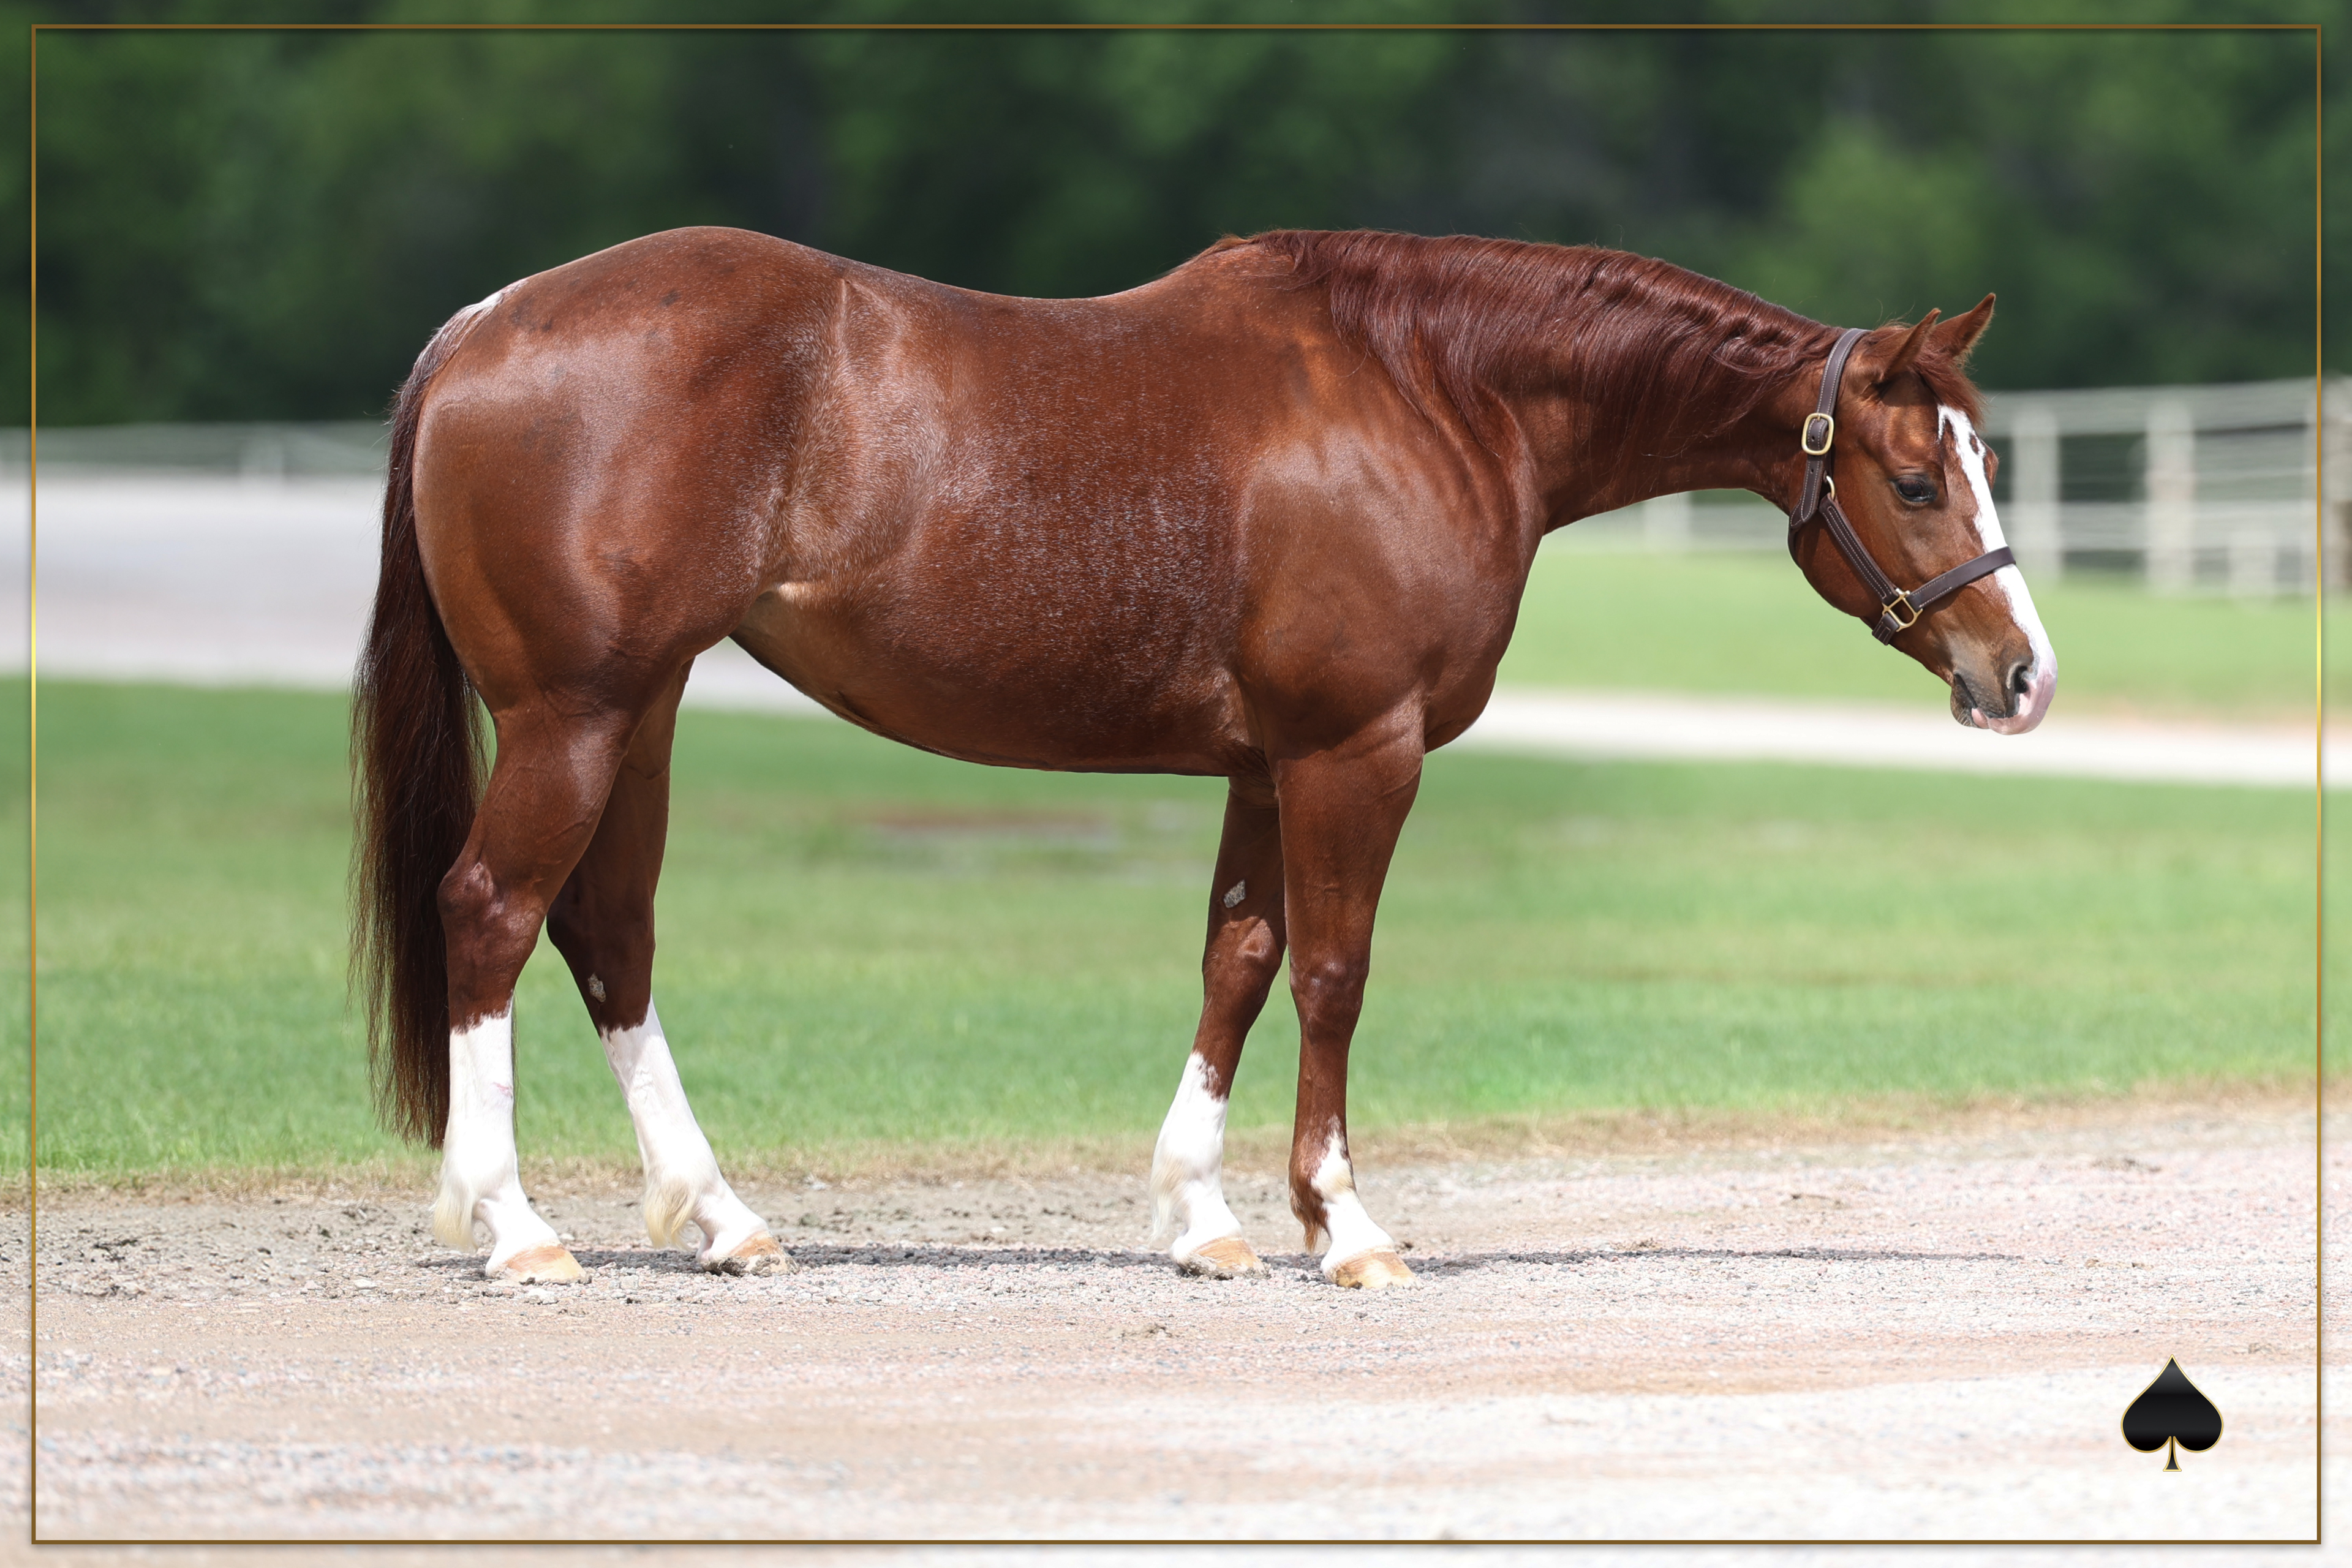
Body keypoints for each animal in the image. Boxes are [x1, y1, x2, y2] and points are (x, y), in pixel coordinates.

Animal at [354, 226, 2055, 1291]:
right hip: (577, 713)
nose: (2022, 674)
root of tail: (480, 325)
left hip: (634, 712)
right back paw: (516, 1227)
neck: (1432, 390)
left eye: (1983, 461)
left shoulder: (1266, 760)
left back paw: (720, 1216)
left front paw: (1200, 1215)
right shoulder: (1357, 750)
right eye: (1916, 480)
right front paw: (1343, 1223)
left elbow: (1237, 958)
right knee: (492, 911)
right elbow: (1334, 975)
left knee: (608, 935)